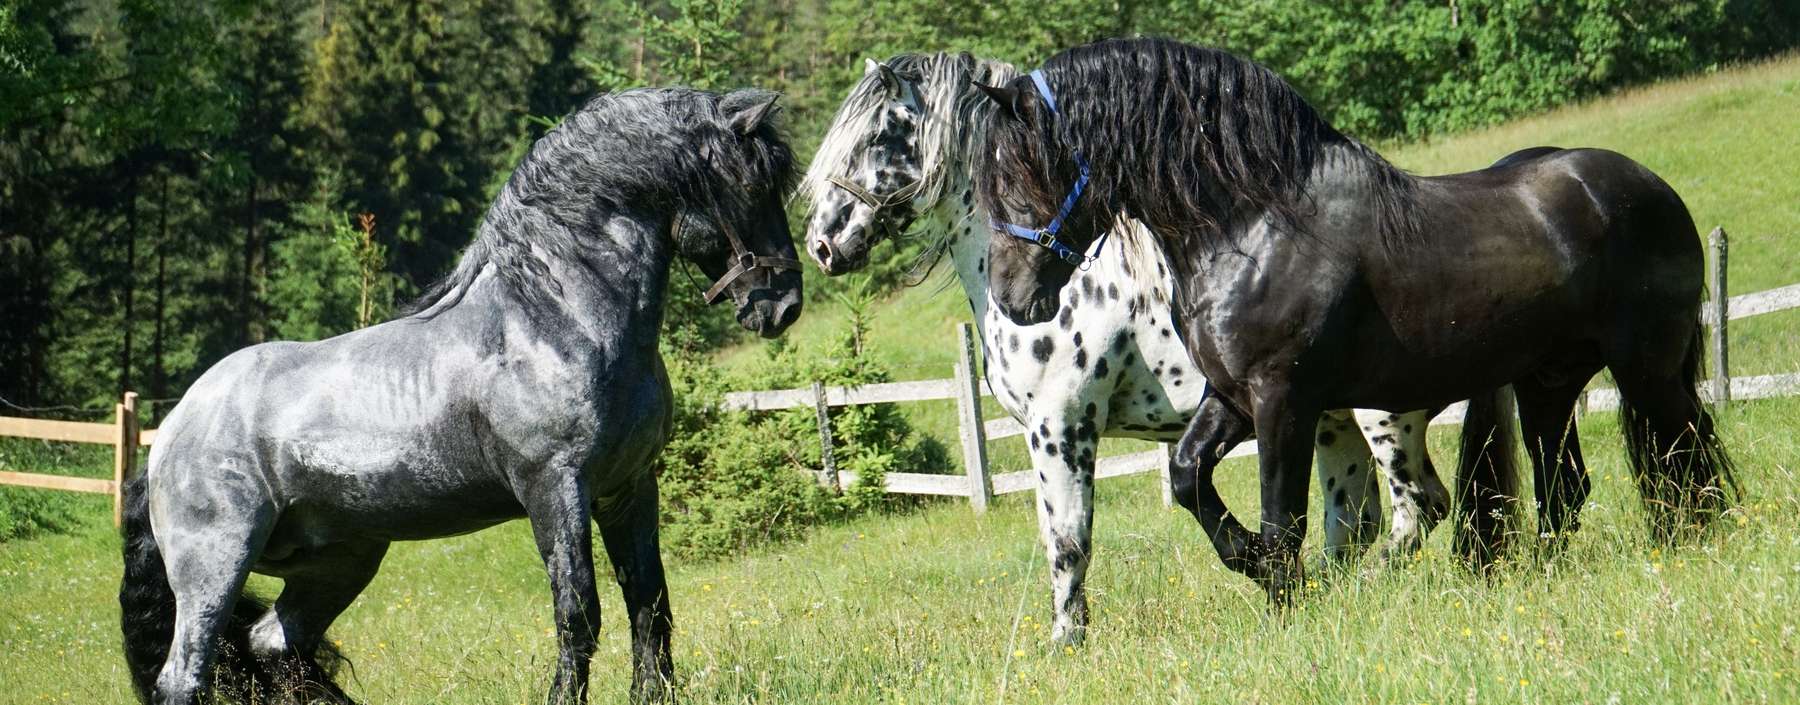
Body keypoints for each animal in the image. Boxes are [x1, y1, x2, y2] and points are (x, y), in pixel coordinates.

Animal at [118, 87, 802, 705]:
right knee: (184, 677)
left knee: (274, 647)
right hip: (215, 564)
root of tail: (168, 433)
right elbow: (578, 612)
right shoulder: (555, 488)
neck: (555, 318)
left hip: (340, 560)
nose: (784, 306)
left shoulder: (628, 488)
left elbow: (649, 604)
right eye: (753, 186)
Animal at [798, 52, 1507, 642]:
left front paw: (1067, 644)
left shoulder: (1063, 427)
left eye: (874, 137)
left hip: (1383, 412)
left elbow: (1069, 543)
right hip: (1329, 421)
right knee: (1354, 520)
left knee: (1416, 508)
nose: (822, 245)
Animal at [970, 37, 1736, 603]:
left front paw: (1285, 592)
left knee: (1684, 454)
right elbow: (1188, 475)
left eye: (1018, 168)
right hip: (1548, 383)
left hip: (1645, 369)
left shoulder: (1285, 399)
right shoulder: (1233, 397)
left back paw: (1700, 543)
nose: (1011, 297)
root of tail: (1650, 188)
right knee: (1566, 489)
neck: (1255, 222)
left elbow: (1285, 517)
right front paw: (1255, 564)